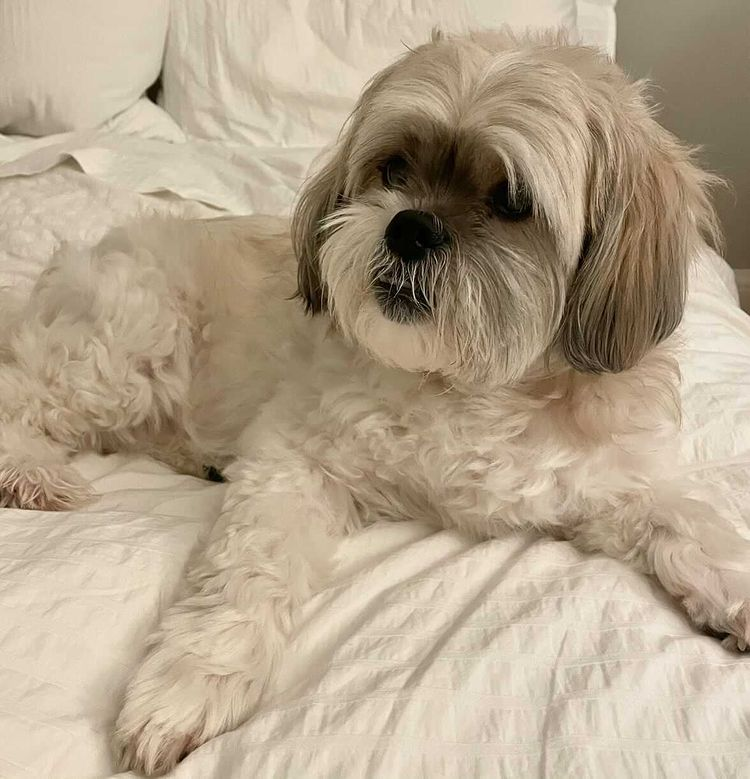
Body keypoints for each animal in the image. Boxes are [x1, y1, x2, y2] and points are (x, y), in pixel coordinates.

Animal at [1, 29, 750, 772]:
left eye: (512, 200)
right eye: (394, 169)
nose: (410, 227)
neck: (466, 382)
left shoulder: (604, 481)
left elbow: (688, 517)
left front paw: (734, 589)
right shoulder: (292, 461)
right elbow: (247, 572)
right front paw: (192, 681)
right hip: (128, 344)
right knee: (21, 392)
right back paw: (32, 473)